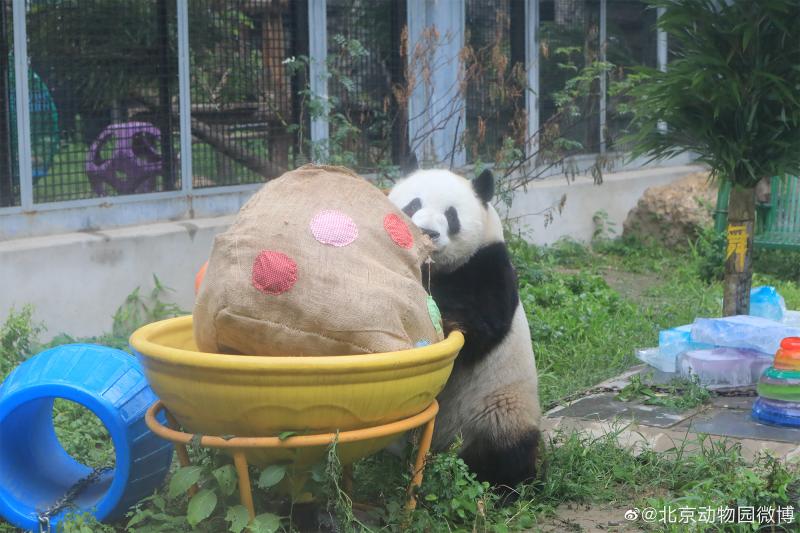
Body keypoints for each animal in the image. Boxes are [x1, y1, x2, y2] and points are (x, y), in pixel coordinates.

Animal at [390, 168, 544, 488]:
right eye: (413, 204)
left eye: (451, 215)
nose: (427, 232)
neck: (432, 267)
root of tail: (444, 449)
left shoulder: (487, 265)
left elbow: (481, 326)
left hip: (497, 408)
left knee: (506, 451)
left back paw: (509, 486)